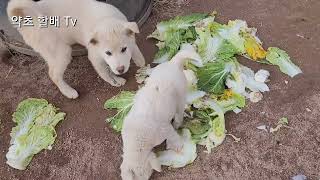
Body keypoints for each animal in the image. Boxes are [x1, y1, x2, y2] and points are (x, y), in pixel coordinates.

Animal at [6, 0, 144, 98]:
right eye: (108, 53)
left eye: (124, 49)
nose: (121, 70)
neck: (104, 19)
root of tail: (26, 19)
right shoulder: (95, 56)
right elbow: (105, 72)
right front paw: (115, 80)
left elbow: (135, 48)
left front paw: (140, 61)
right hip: (61, 51)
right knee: (54, 75)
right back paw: (69, 92)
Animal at [120, 48, 200, 180]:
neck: (137, 140)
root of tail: (173, 63)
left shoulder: (165, 129)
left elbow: (173, 136)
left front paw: (178, 147)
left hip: (180, 97)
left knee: (179, 114)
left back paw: (177, 124)